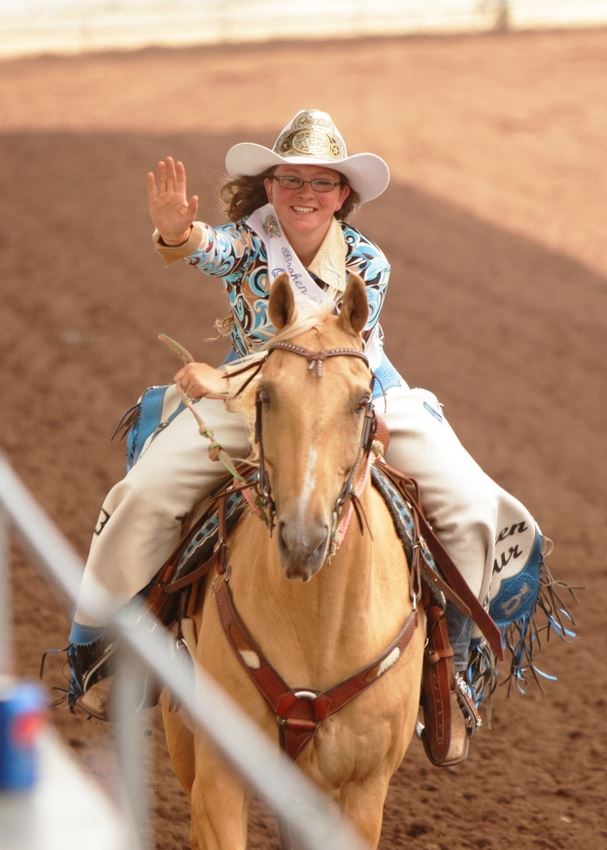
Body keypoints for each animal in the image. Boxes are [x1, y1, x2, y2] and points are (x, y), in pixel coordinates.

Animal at [160, 273, 426, 850]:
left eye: (360, 400)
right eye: (265, 393)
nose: (303, 540)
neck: (321, 629)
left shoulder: (364, 792)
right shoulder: (219, 776)